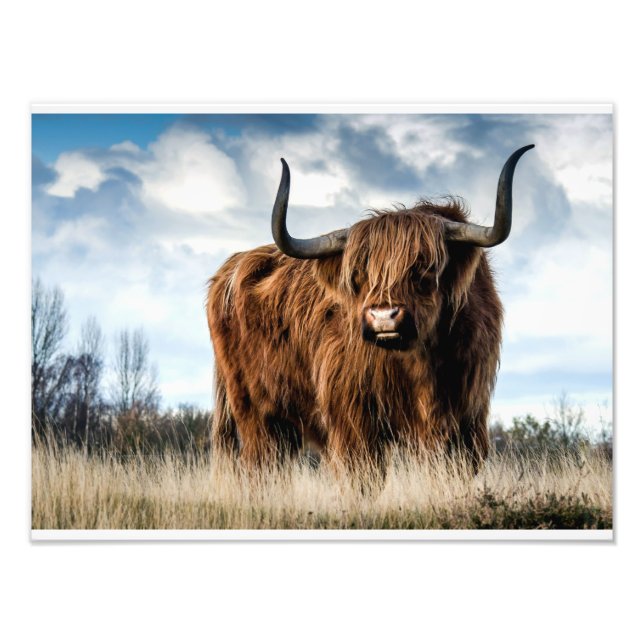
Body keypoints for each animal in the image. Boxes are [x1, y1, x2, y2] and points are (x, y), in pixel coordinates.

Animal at [206, 145, 534, 469]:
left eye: (425, 268)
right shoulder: (353, 421)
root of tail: (230, 268)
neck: (422, 365)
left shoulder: (468, 421)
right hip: (255, 414)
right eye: (357, 274)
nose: (383, 317)